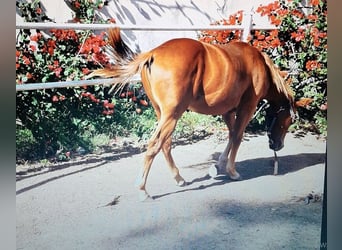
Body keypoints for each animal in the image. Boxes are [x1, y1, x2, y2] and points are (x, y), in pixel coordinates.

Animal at [89, 28, 296, 201]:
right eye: (289, 121)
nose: (277, 145)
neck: (257, 64)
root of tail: (152, 54)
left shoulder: (227, 111)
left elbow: (231, 135)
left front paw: (219, 165)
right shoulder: (247, 107)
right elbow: (237, 136)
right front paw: (232, 171)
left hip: (162, 114)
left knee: (165, 144)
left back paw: (179, 178)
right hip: (172, 115)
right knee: (155, 145)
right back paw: (143, 190)